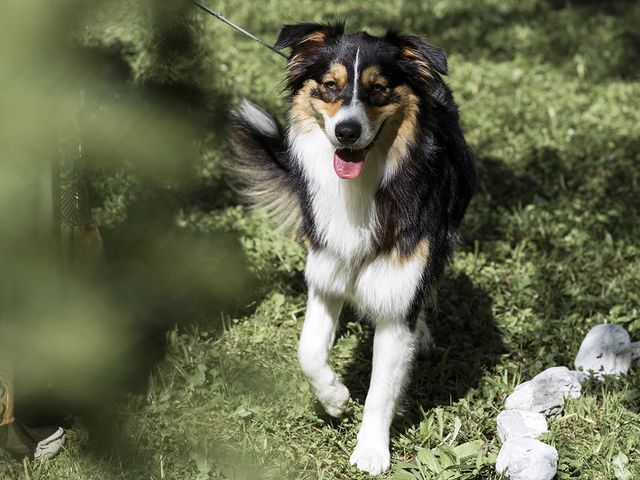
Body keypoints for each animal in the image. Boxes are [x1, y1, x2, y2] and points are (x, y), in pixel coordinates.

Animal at [230, 21, 476, 476]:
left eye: (379, 89)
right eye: (330, 85)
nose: (346, 131)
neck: (364, 186)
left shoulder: (399, 289)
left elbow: (382, 386)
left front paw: (371, 452)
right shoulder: (326, 269)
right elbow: (308, 350)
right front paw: (334, 398)